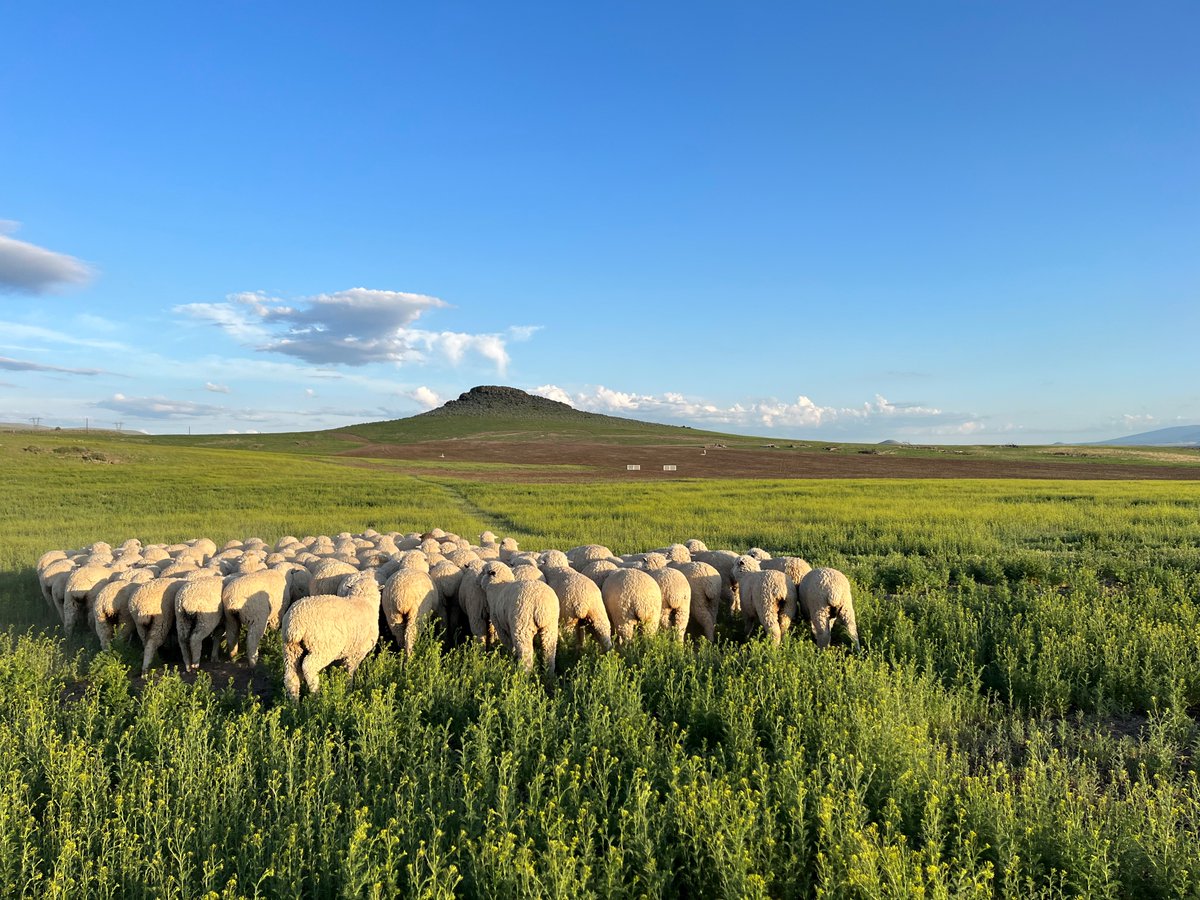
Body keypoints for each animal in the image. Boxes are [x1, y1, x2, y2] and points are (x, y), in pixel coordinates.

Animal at [282, 571, 382, 701]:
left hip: (290, 649)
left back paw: (294, 702)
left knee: (290, 677)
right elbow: (350, 670)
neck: (363, 600)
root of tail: (295, 623)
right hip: (322, 648)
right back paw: (316, 695)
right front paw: (349, 689)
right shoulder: (357, 652)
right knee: (309, 667)